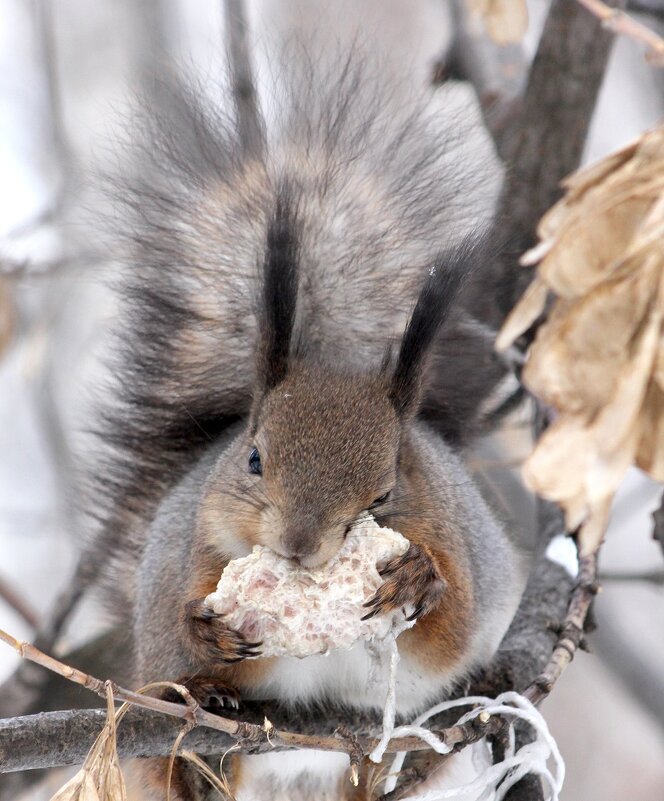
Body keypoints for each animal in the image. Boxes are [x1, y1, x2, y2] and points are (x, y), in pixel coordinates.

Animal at [91, 50, 528, 800]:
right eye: (253, 458)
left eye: (386, 490)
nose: (298, 547)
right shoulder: (196, 549)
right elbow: (190, 618)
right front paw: (205, 631)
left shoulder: (457, 546)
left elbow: (451, 621)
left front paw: (419, 580)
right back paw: (202, 732)